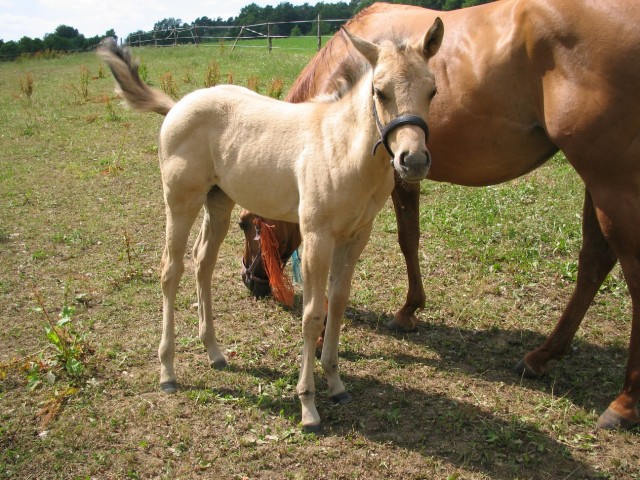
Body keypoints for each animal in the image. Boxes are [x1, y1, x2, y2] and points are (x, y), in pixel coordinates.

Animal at [97, 18, 444, 432]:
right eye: (380, 91)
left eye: (432, 90)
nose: (414, 160)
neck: (342, 148)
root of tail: (177, 105)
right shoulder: (316, 237)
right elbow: (312, 315)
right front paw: (308, 406)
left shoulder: (356, 236)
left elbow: (337, 305)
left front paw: (336, 384)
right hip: (180, 201)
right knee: (171, 270)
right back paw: (167, 371)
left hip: (219, 202)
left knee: (203, 263)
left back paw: (214, 352)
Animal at [258, 0, 640, 430]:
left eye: (248, 227)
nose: (253, 283)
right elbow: (411, 239)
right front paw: (410, 310)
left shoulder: (397, 176)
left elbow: (406, 238)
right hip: (598, 180)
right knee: (594, 260)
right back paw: (543, 356)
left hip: (611, 180)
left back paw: (625, 400)